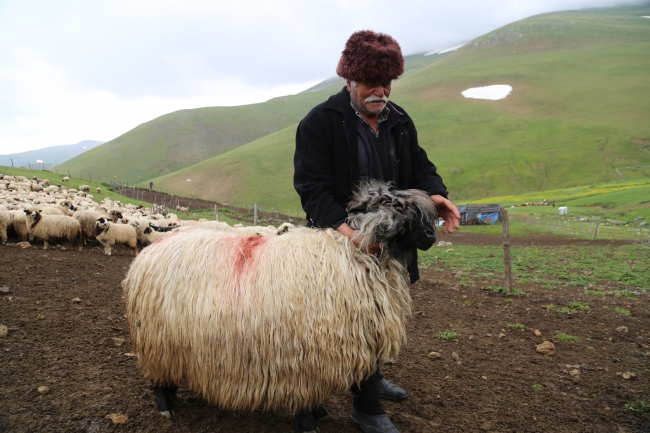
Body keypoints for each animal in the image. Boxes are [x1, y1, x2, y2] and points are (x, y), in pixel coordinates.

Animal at [121, 179, 436, 426]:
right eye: (395, 206)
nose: (431, 236)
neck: (352, 253)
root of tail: (149, 252)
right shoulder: (305, 356)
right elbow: (304, 402)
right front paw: (308, 422)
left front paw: (319, 412)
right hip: (156, 340)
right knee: (158, 381)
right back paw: (165, 407)